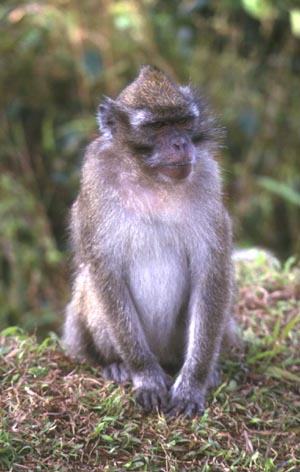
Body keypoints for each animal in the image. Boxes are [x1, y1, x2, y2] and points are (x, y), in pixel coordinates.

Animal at [63, 63, 237, 416]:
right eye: (158, 126)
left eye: (182, 122)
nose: (181, 144)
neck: (150, 178)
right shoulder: (96, 179)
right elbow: (104, 274)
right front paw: (145, 375)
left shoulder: (207, 177)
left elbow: (211, 273)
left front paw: (193, 383)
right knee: (90, 287)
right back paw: (118, 364)